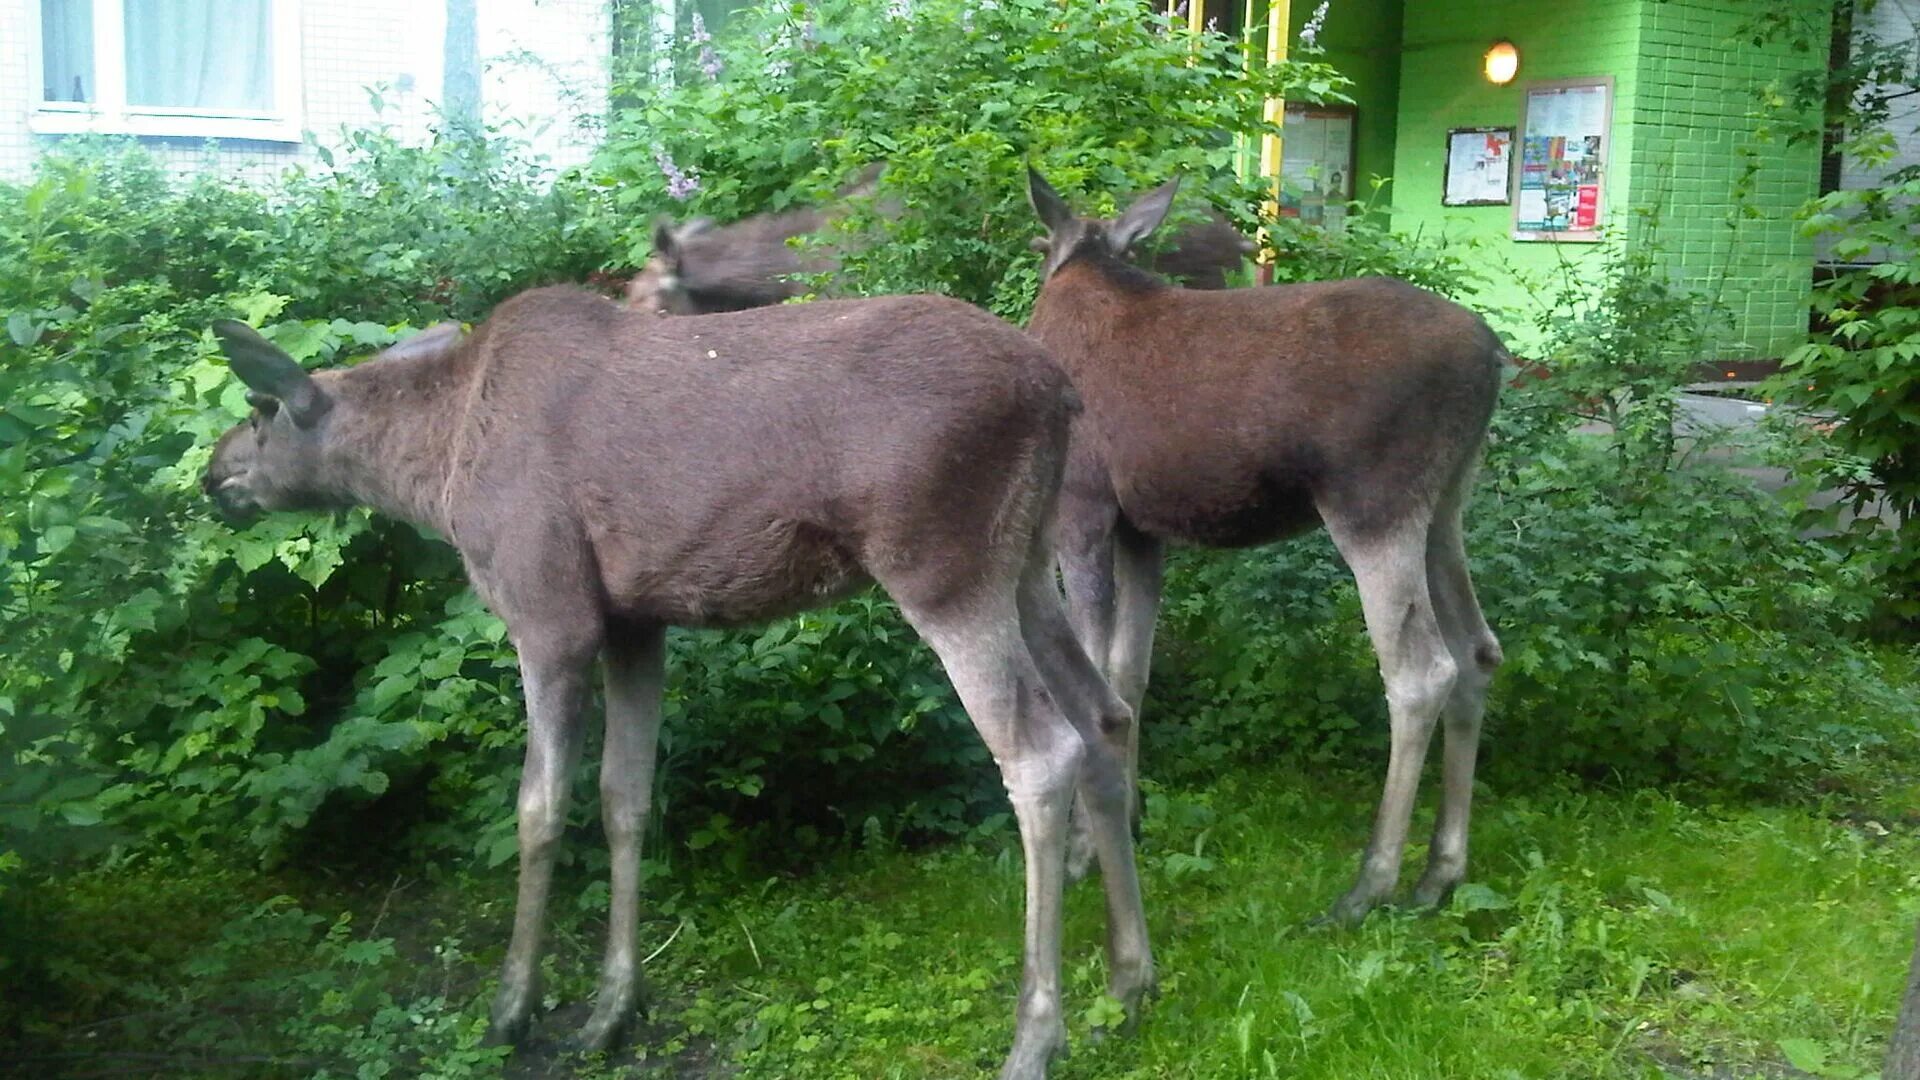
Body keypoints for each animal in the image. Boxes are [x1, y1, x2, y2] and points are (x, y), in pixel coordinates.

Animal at [204, 288, 1152, 1076]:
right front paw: (611, 1010)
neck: (433, 473)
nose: (215, 475)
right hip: (1022, 566)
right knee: (1105, 714)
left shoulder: (549, 615)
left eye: (258, 412)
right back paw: (1131, 976)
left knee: (1040, 754)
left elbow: (539, 808)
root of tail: (1057, 392)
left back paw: (1036, 1036)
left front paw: (513, 1007)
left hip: (943, 568)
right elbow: (625, 796)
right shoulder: (636, 624)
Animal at [1029, 168, 1505, 914]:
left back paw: (1368, 885)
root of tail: (1494, 357)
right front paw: (1129, 820)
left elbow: (1096, 681)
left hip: (1373, 504)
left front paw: (1085, 852)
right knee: (1478, 649)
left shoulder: (1082, 512)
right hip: (1445, 502)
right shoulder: (1143, 532)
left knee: (1420, 671)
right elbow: (1131, 673)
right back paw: (1439, 872)